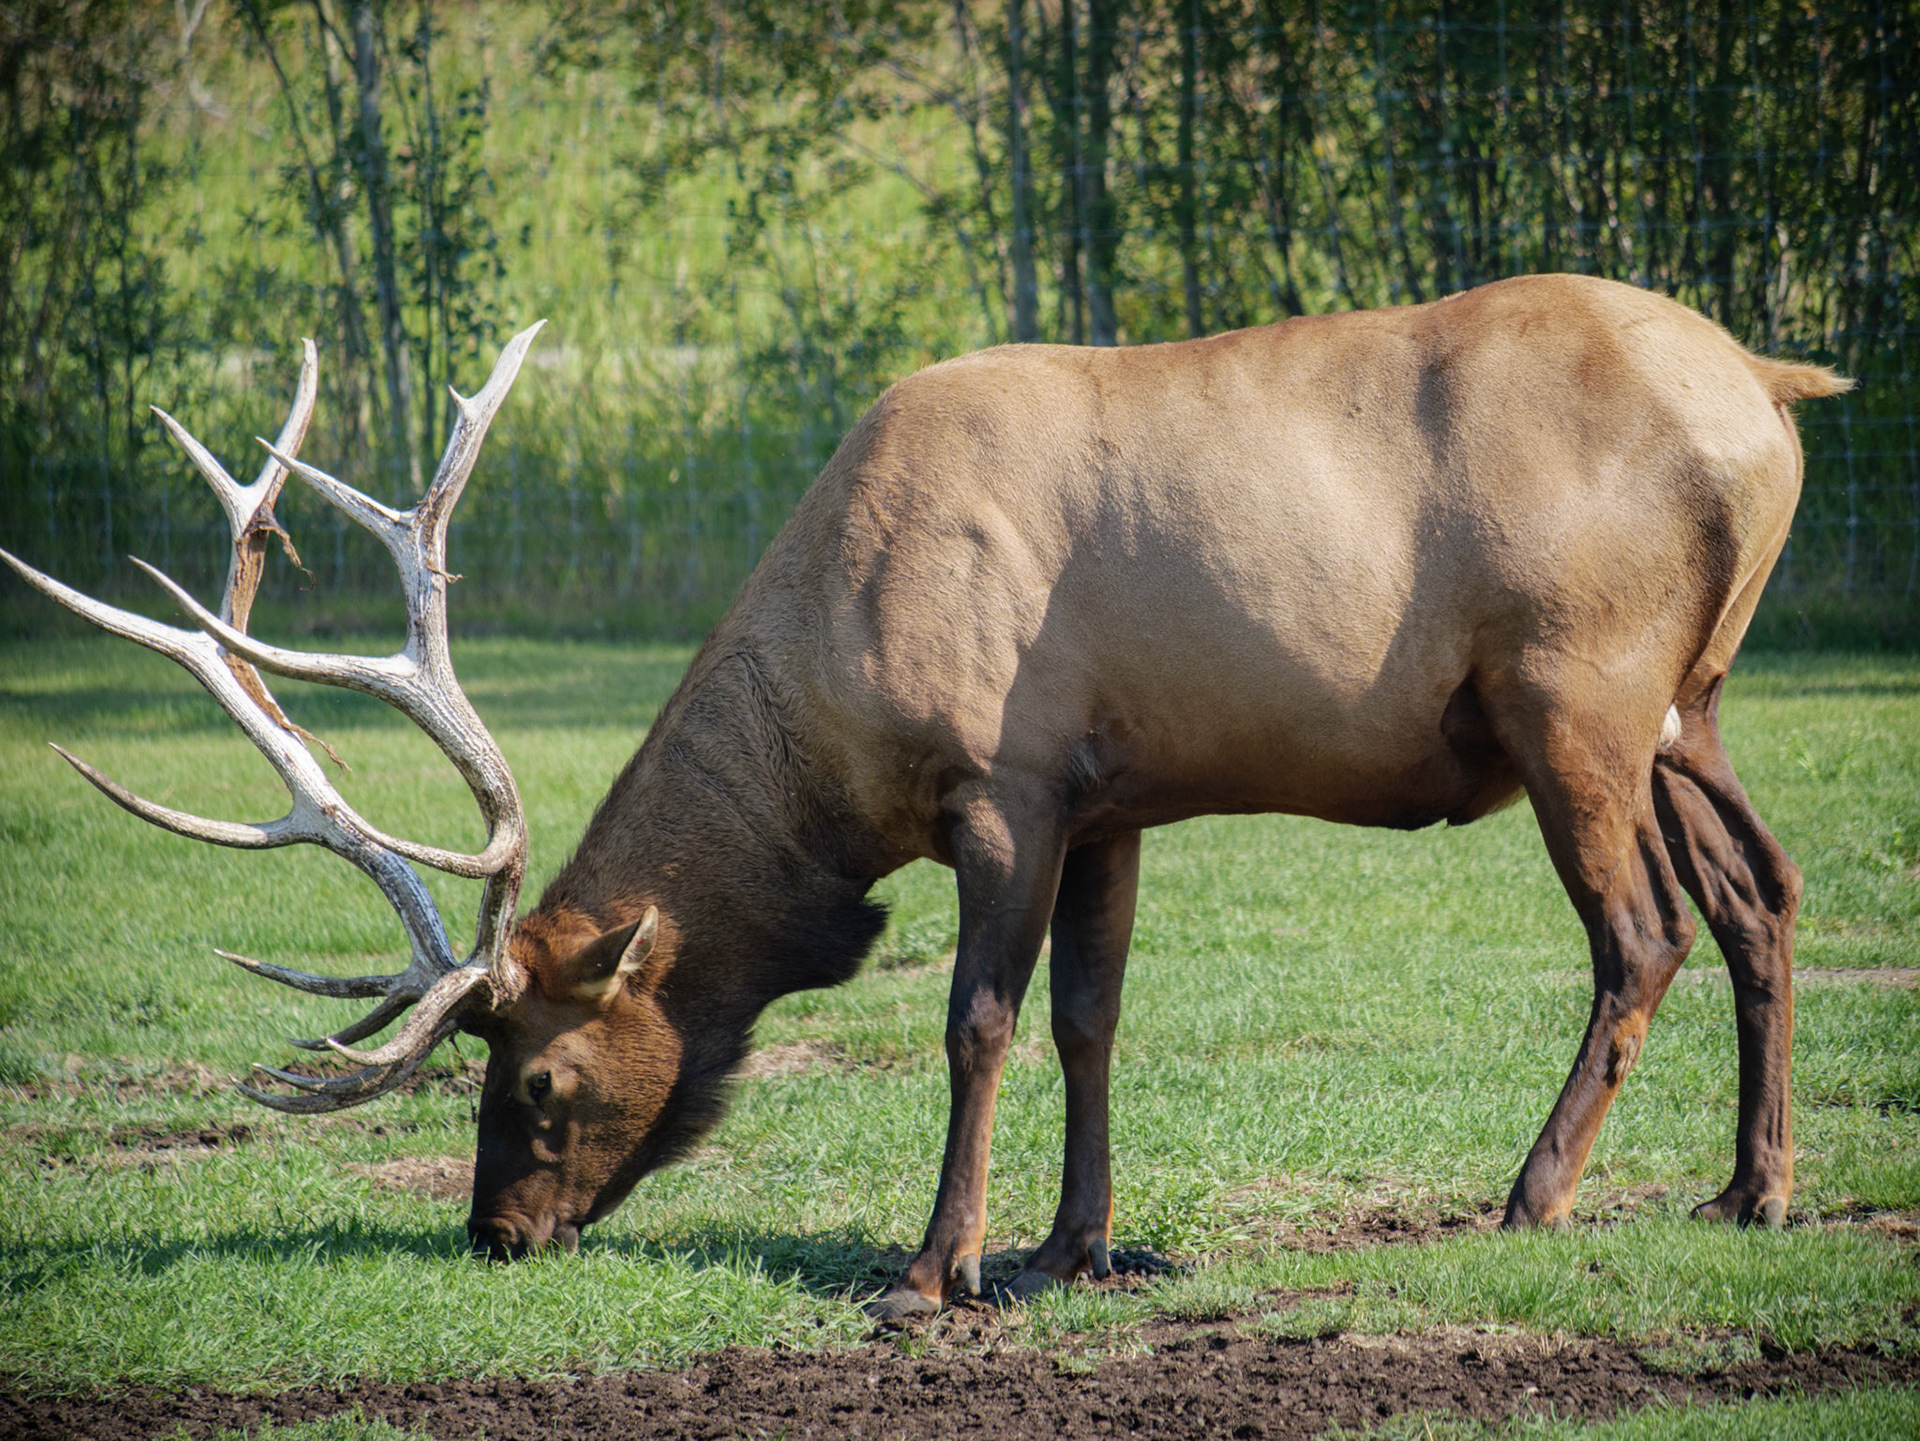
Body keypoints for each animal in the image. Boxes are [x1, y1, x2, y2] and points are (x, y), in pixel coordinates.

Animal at [5, 274, 1848, 1320]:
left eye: (531, 1081)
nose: (497, 1240)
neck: (831, 747)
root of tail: (1774, 391)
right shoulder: (1117, 797)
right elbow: (1097, 1016)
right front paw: (1069, 1247)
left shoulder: (1005, 783)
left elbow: (978, 1020)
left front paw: (931, 1269)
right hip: (1690, 702)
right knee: (1765, 891)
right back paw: (1752, 1188)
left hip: (1572, 692)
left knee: (1643, 933)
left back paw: (1532, 1195)